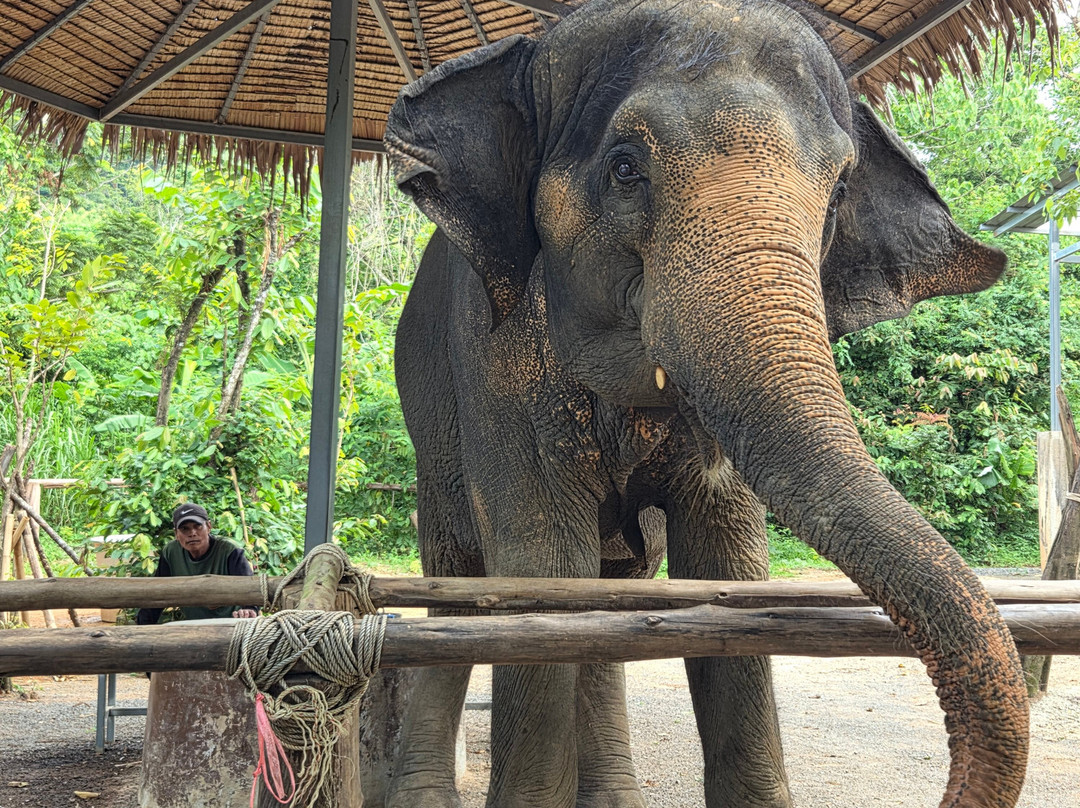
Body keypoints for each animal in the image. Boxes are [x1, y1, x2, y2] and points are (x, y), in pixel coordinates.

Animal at [380, 0, 1029, 806]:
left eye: (839, 194)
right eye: (625, 167)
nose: (944, 787)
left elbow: (727, 565)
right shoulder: (493, 354)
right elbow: (539, 563)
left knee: (614, 590)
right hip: (431, 442)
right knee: (460, 587)